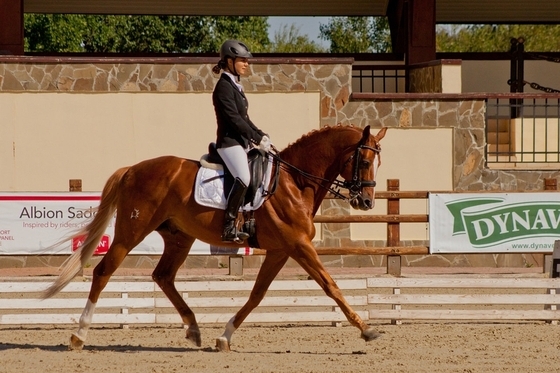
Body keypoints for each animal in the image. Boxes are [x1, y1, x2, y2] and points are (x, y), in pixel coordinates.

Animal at [42, 123, 384, 350]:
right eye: (365, 161)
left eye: (378, 162)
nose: (366, 202)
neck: (295, 182)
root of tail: (132, 169)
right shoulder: (299, 246)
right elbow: (331, 285)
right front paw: (366, 329)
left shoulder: (281, 250)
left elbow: (257, 295)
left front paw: (224, 336)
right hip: (131, 232)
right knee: (103, 271)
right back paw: (79, 335)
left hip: (179, 237)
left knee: (163, 276)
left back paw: (193, 329)